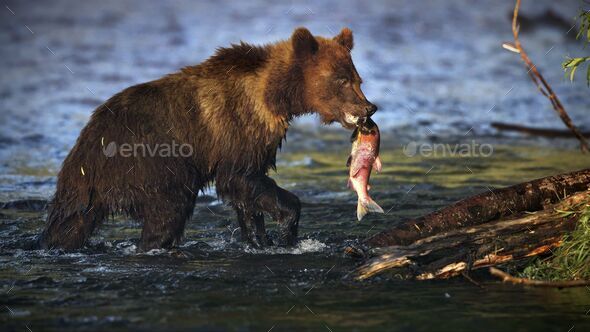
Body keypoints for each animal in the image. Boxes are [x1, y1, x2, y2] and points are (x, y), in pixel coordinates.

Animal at [38, 27, 380, 250]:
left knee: (70, 225)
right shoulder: (237, 127)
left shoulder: (256, 140)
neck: (275, 97)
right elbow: (240, 179)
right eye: (342, 80)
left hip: (87, 194)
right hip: (150, 167)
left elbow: (246, 194)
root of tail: (84, 151)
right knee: (168, 212)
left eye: (358, 78)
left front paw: (259, 238)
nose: (369, 107)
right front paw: (286, 229)